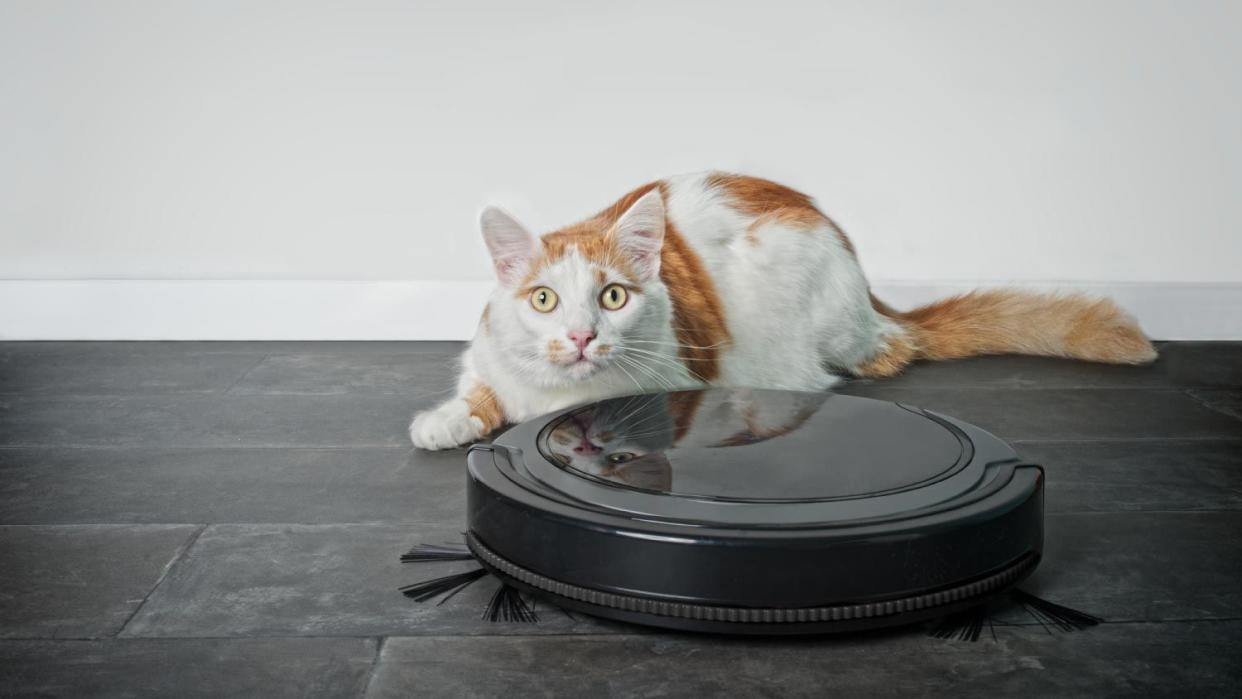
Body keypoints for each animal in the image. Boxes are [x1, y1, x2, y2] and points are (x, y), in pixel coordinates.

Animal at [407, 172, 1152, 451]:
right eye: (544, 299)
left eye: (612, 296)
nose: (583, 335)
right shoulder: (489, 355)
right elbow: (480, 387)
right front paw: (446, 420)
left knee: (885, 354)